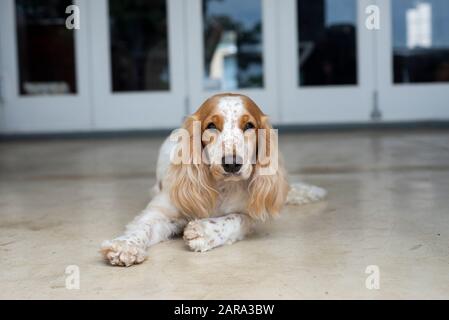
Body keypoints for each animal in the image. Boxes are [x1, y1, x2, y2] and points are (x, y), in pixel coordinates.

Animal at [100, 94, 326, 266]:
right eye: (211, 126)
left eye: (249, 125)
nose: (232, 164)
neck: (223, 187)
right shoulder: (161, 212)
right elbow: (142, 226)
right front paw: (125, 246)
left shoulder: (248, 215)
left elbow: (232, 220)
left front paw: (203, 231)